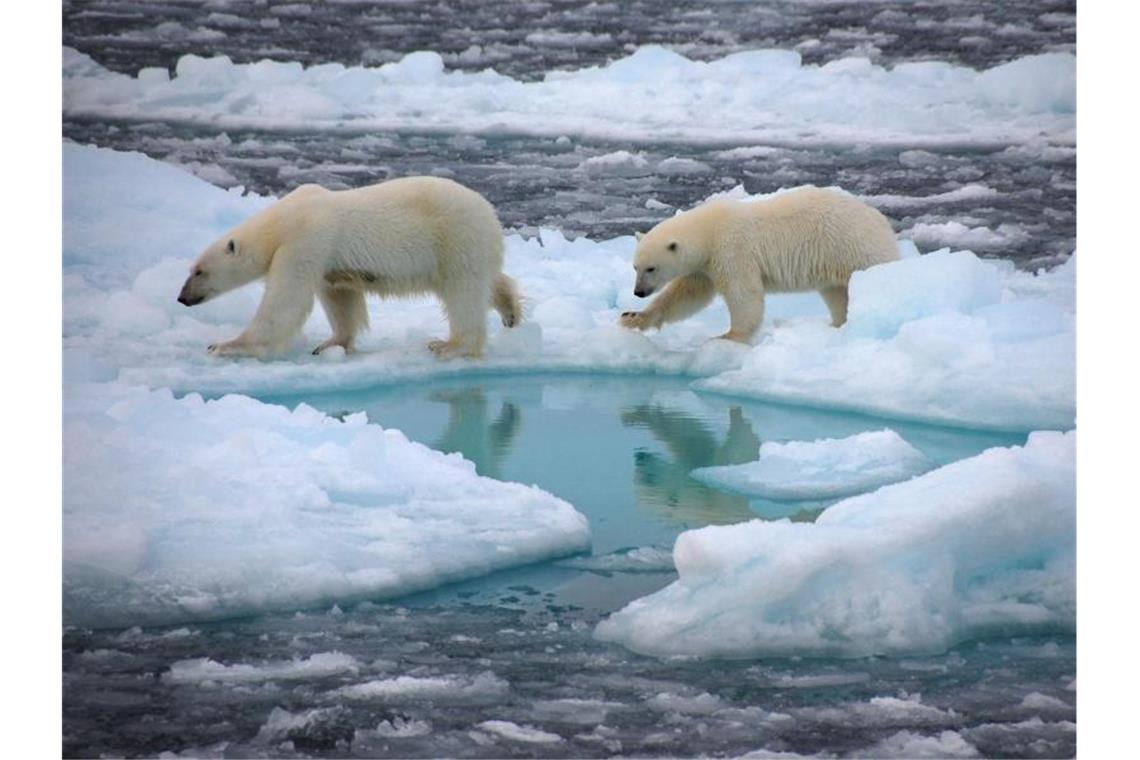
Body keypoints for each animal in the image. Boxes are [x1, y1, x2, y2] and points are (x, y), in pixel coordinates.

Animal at [175, 175, 519, 360]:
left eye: (199, 271)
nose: (182, 298)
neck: (281, 221)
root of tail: (489, 212)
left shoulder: (305, 240)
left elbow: (285, 301)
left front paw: (225, 345)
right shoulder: (327, 260)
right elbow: (340, 297)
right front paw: (330, 344)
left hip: (455, 238)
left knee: (464, 293)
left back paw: (450, 346)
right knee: (488, 281)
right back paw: (511, 310)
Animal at [620, 185, 893, 344]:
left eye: (651, 268)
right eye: (635, 267)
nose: (638, 292)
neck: (709, 231)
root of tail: (881, 221)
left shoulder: (732, 250)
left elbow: (743, 294)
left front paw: (729, 336)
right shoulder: (704, 266)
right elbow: (687, 295)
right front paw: (633, 317)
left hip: (855, 249)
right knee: (836, 294)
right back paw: (837, 325)